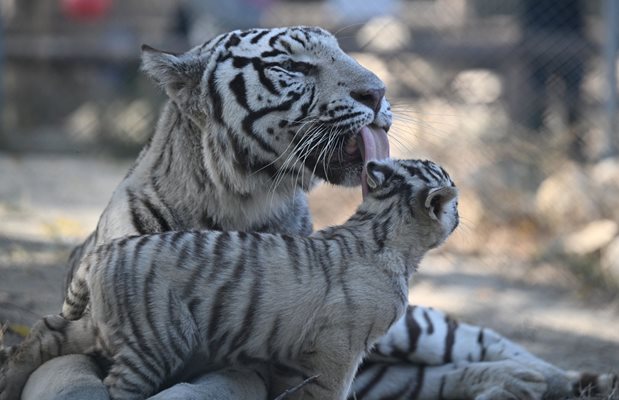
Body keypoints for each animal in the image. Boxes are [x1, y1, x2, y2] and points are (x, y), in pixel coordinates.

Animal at [2, 25, 616, 400]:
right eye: (294, 66)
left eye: (341, 54)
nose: (379, 92)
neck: (236, 199)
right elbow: (63, 369)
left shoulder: (252, 361)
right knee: (432, 378)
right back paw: (513, 384)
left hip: (418, 330)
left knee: (494, 345)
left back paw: (560, 377)